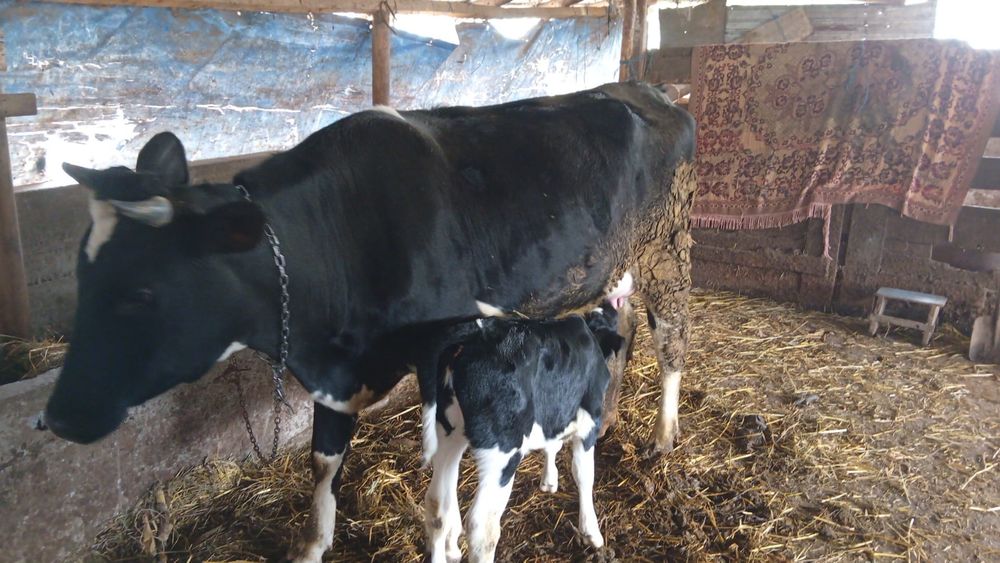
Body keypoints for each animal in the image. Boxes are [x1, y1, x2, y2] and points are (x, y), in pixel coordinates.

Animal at [419, 303, 624, 563]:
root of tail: (475, 334)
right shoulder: (589, 423)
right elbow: (584, 474)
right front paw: (592, 532)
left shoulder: (554, 410)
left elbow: (552, 444)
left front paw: (549, 480)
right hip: (502, 452)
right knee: (481, 526)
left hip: (448, 432)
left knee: (436, 505)